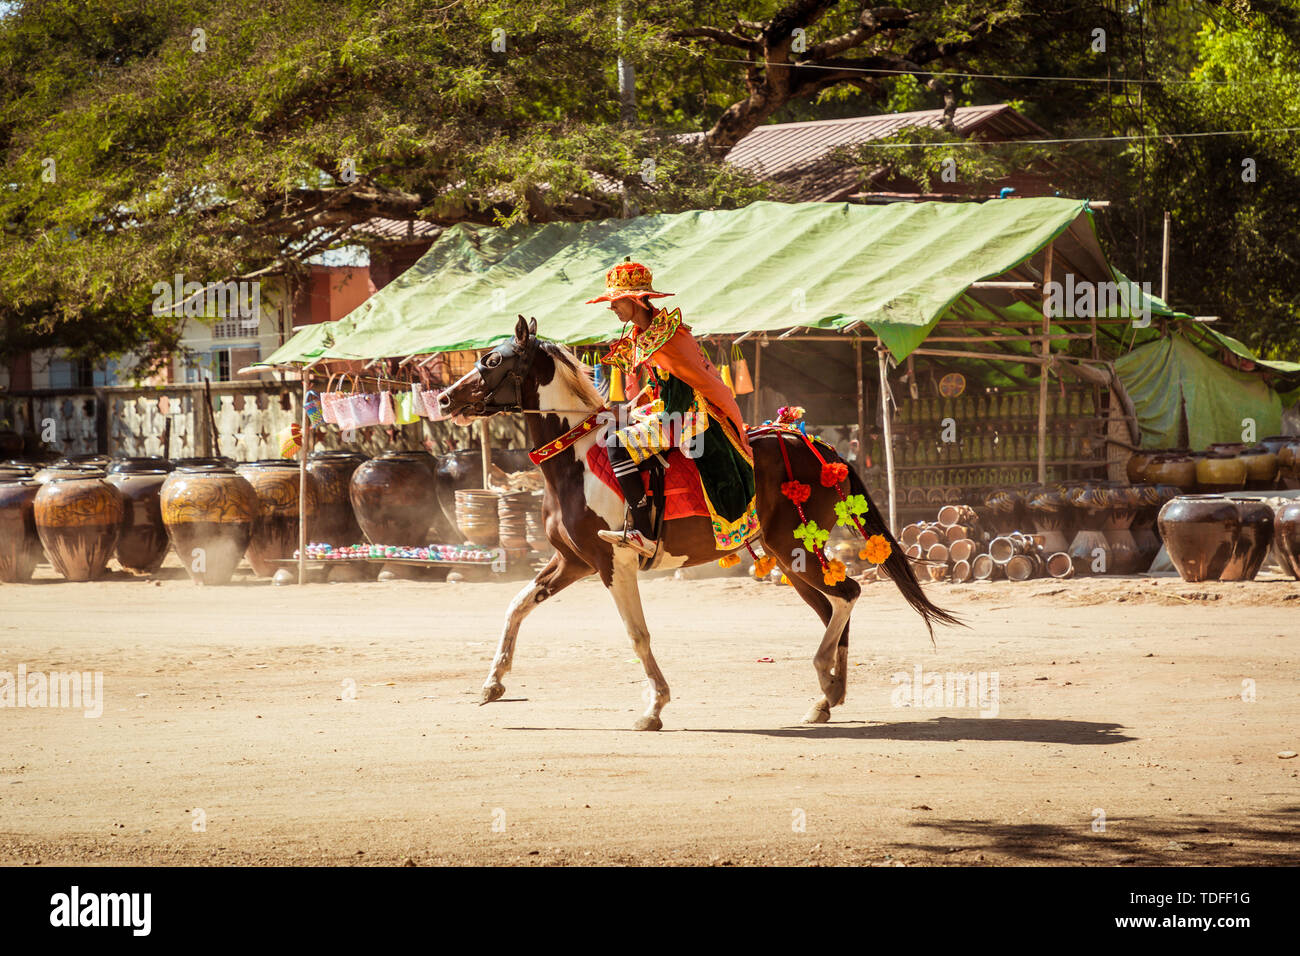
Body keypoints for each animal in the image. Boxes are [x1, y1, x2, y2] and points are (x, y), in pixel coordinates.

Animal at [441, 317, 961, 728]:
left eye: (491, 360)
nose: (444, 399)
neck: (578, 461)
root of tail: (815, 444)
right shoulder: (574, 561)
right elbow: (516, 606)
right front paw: (492, 684)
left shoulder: (613, 563)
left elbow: (637, 634)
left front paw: (654, 707)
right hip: (789, 557)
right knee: (833, 605)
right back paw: (828, 696)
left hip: (792, 547)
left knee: (847, 595)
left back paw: (826, 683)